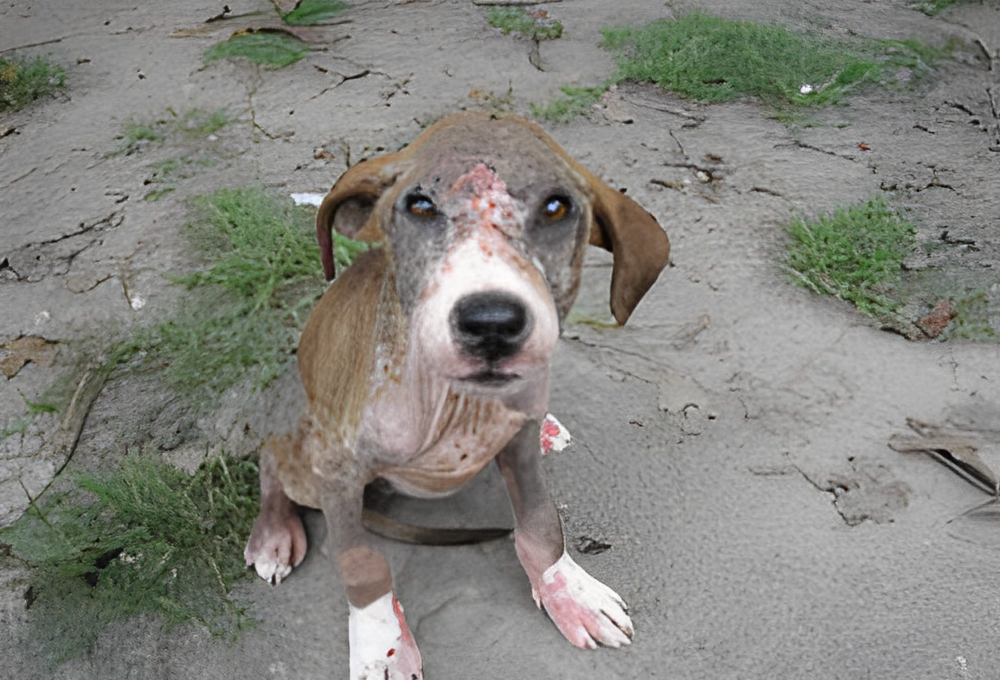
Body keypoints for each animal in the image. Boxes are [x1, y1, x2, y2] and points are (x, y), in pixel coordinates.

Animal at [244, 111, 670, 680]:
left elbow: (541, 523)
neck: (457, 405)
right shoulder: (337, 471)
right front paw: (382, 642)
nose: (491, 322)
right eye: (420, 205)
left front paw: (565, 590)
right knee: (271, 456)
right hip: (305, 457)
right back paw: (272, 531)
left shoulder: (517, 444)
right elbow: (361, 564)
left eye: (557, 207)